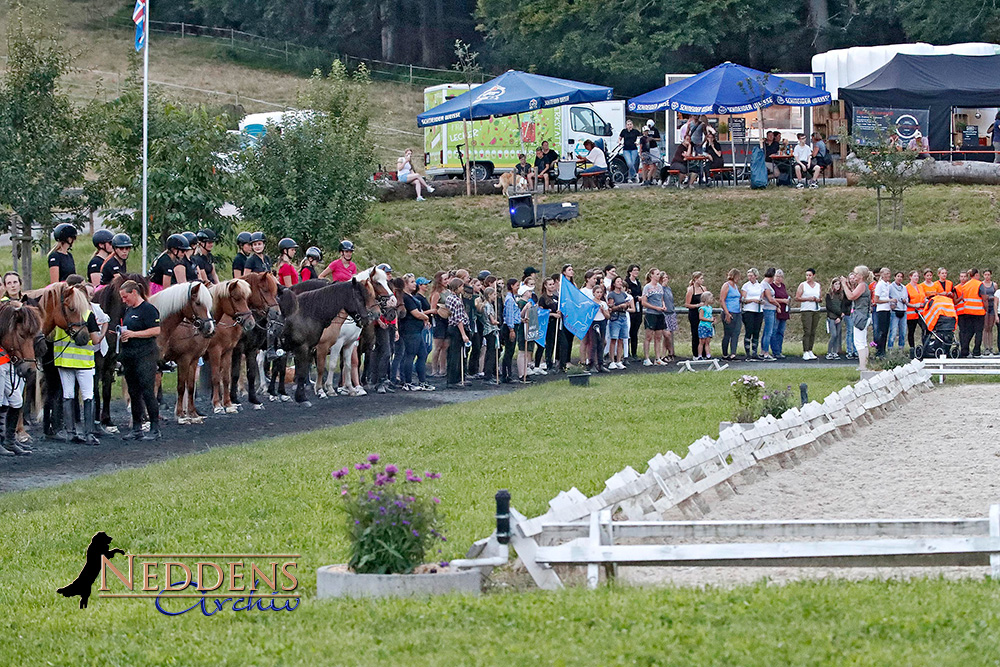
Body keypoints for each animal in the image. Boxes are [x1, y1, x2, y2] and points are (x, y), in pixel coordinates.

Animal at [151, 284, 216, 426]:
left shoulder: (194, 360)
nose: (210, 328)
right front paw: (181, 415)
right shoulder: (183, 360)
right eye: (198, 303)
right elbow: (181, 387)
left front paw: (193, 414)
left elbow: (190, 387)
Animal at [205, 280, 254, 414]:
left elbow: (226, 377)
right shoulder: (215, 351)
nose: (251, 322)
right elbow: (216, 377)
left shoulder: (228, 351)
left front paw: (228, 404)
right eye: (236, 298)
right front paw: (217, 404)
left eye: (246, 298)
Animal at [231, 272, 282, 410]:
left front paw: (255, 399)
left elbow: (252, 373)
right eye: (265, 290)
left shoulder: (252, 349)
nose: (277, 313)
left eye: (275, 291)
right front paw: (235, 400)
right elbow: (235, 373)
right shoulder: (237, 349)